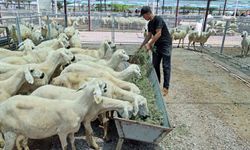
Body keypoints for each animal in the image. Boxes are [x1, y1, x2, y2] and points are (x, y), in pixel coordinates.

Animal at [0, 79, 133, 149]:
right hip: (9, 132)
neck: (76, 106)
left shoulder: (73, 130)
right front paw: (95, 145)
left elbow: (73, 142)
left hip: (22, 130)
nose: (106, 85)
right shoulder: (65, 130)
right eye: (100, 85)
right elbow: (86, 134)